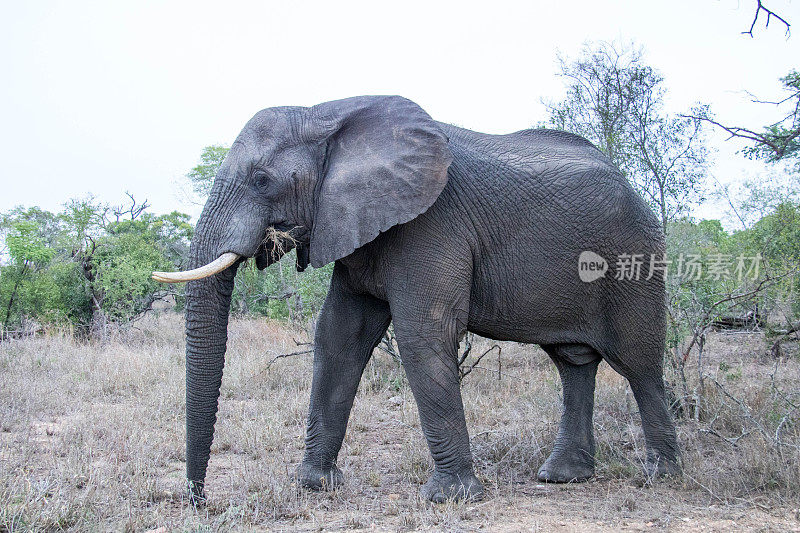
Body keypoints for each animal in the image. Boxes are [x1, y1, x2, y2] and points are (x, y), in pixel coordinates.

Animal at [153, 94, 680, 502]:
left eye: (262, 179)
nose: (200, 500)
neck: (327, 114)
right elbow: (340, 335)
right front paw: (315, 485)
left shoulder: (432, 224)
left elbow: (422, 335)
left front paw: (450, 498)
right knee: (572, 362)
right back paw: (562, 477)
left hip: (633, 260)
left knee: (638, 363)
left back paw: (660, 477)